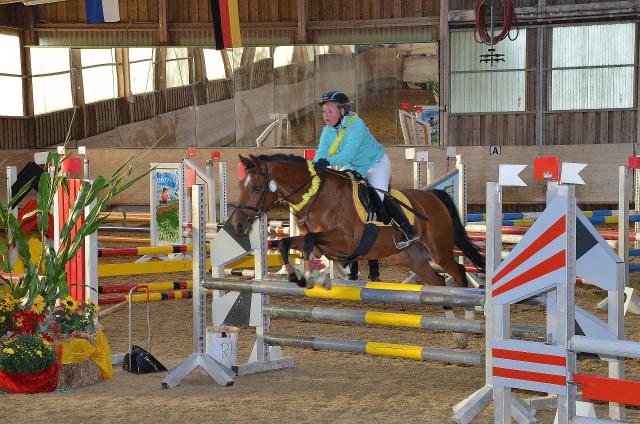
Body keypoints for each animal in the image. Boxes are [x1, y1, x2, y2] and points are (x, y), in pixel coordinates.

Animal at [231, 154, 485, 348]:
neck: (317, 195)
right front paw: (298, 275)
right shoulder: (312, 238)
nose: (237, 225)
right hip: (413, 258)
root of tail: (433, 196)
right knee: (439, 284)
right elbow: (287, 243)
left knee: (460, 275)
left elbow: (311, 241)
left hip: (439, 250)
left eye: (256, 187)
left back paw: (467, 326)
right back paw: (457, 333)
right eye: (241, 186)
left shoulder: (345, 241)